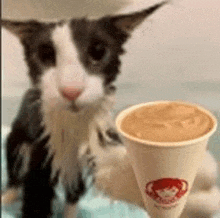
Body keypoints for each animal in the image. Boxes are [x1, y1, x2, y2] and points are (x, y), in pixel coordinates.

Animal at [1, 1, 220, 218]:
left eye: (98, 51)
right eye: (45, 54)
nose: (71, 90)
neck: (74, 125)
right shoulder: (41, 145)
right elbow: (36, 191)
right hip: (18, 136)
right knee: (15, 167)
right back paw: (8, 195)